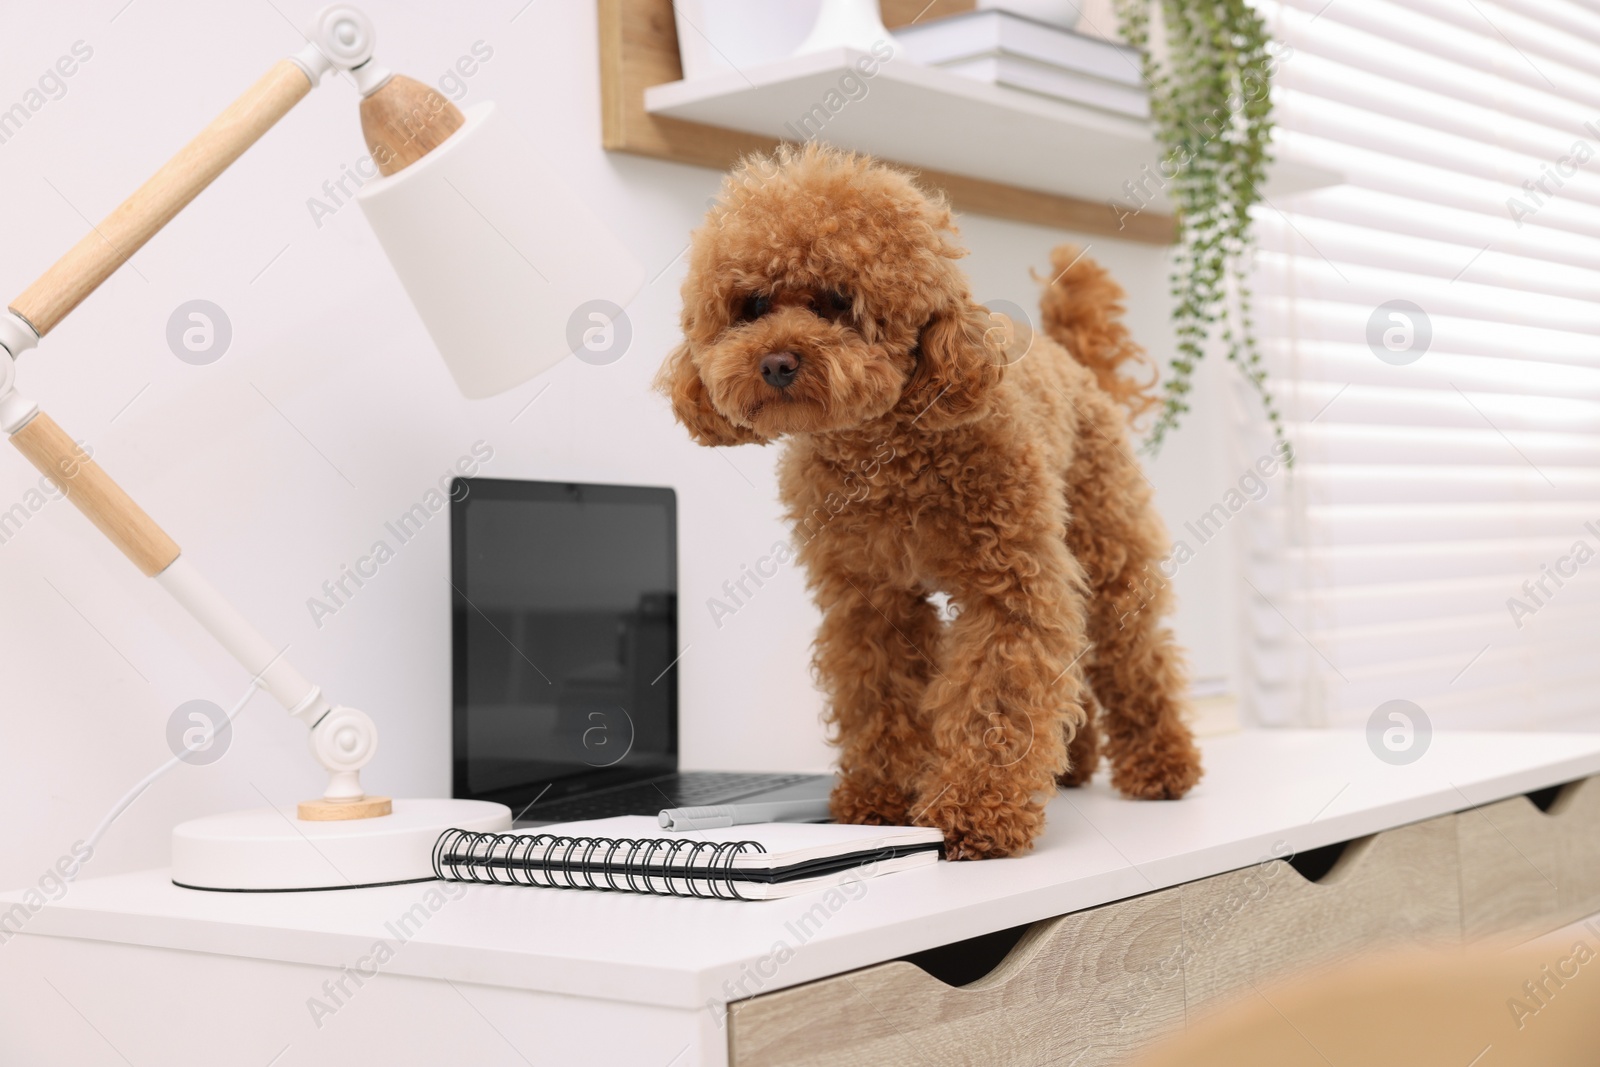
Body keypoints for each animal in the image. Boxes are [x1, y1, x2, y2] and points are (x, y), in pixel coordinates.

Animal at [652, 143, 1203, 857]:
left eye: (839, 301)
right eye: (752, 304)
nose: (776, 362)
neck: (887, 457)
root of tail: (1069, 359)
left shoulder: (1012, 586)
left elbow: (997, 697)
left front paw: (976, 812)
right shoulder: (867, 599)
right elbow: (879, 695)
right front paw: (879, 801)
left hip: (1106, 541)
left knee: (1134, 650)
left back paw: (1163, 767)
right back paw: (1071, 769)